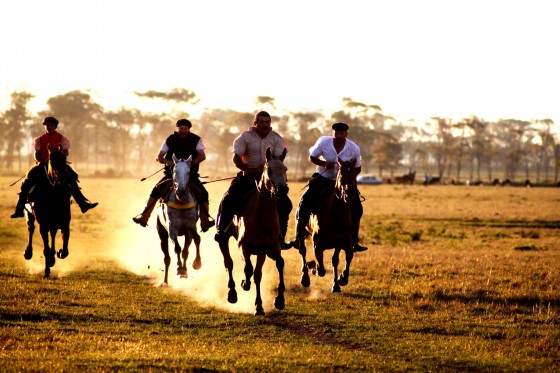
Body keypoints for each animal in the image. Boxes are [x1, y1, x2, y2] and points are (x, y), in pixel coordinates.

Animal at [23, 145, 72, 276]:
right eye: (51, 159)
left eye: (64, 159)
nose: (61, 177)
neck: (53, 195)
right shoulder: (43, 225)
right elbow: (46, 249)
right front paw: (48, 265)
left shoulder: (64, 223)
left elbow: (65, 250)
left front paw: (58, 253)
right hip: (29, 213)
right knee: (31, 228)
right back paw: (28, 252)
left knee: (53, 234)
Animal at [155, 154, 201, 284]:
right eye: (175, 170)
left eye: (188, 172)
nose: (180, 191)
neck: (181, 202)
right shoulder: (172, 229)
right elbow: (177, 248)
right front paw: (179, 268)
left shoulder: (189, 229)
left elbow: (186, 250)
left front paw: (186, 270)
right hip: (161, 231)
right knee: (166, 257)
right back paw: (165, 281)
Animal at [218, 147, 288, 316]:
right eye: (269, 169)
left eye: (285, 169)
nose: (283, 189)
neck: (260, 217)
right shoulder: (244, 246)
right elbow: (248, 269)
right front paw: (244, 283)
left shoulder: (269, 248)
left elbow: (276, 265)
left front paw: (276, 301)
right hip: (224, 238)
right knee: (229, 263)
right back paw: (232, 293)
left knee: (256, 273)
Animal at [300, 156, 356, 290]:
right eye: (341, 175)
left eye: (354, 174)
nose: (350, 193)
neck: (334, 215)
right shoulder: (317, 244)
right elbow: (320, 269)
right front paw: (312, 267)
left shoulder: (340, 241)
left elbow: (336, 260)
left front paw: (338, 282)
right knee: (303, 251)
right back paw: (305, 277)